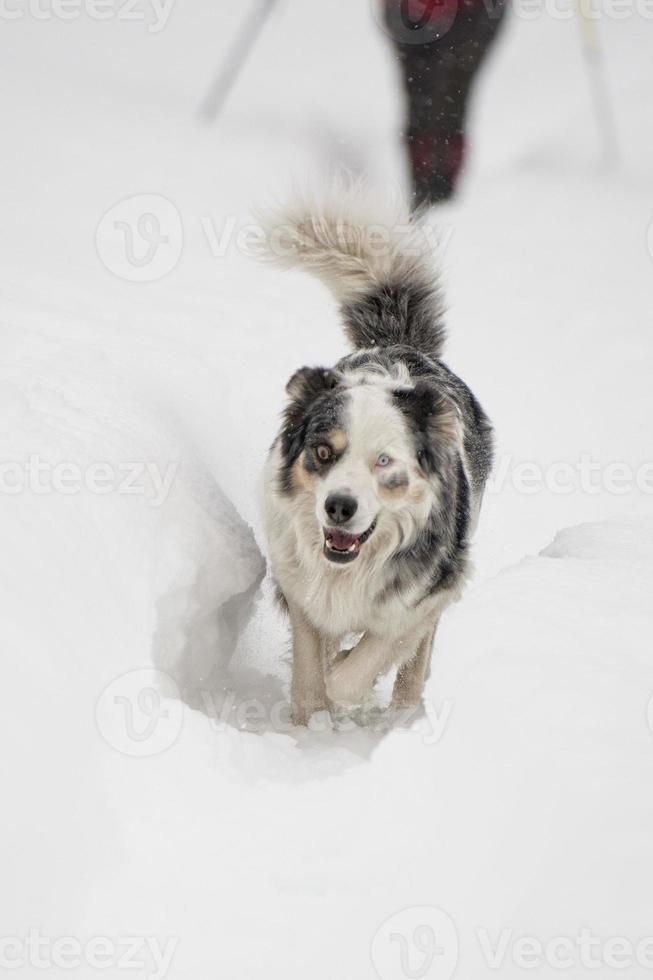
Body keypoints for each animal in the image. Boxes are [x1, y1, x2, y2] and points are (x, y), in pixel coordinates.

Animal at [260, 188, 494, 724]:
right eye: (323, 451)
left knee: (415, 660)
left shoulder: (432, 588)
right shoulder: (297, 582)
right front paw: (310, 721)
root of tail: (399, 343)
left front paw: (351, 687)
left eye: (384, 463)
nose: (339, 507)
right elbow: (310, 666)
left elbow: (365, 661)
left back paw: (404, 714)